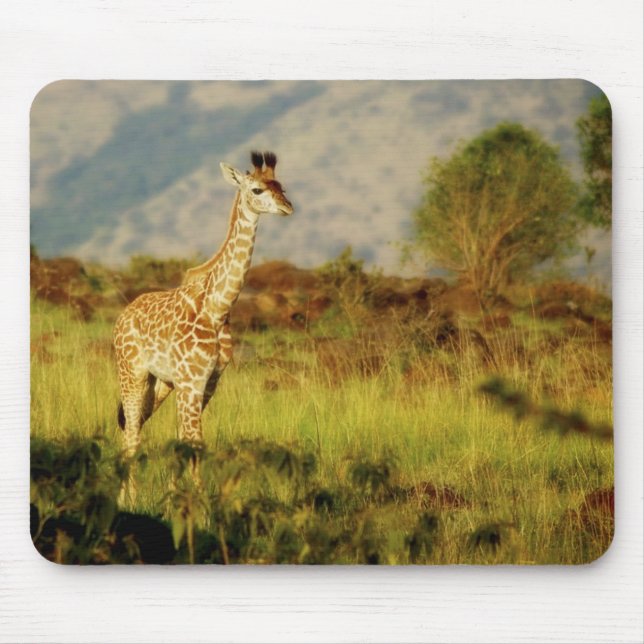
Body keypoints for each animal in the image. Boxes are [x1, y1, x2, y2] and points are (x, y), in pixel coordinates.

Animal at [113, 151, 293, 480]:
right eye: (257, 190)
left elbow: (185, 441)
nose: (288, 207)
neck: (217, 308)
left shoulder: (207, 383)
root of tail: (123, 316)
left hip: (161, 383)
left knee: (135, 427)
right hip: (132, 372)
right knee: (131, 434)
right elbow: (194, 442)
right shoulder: (191, 381)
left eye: (281, 186)